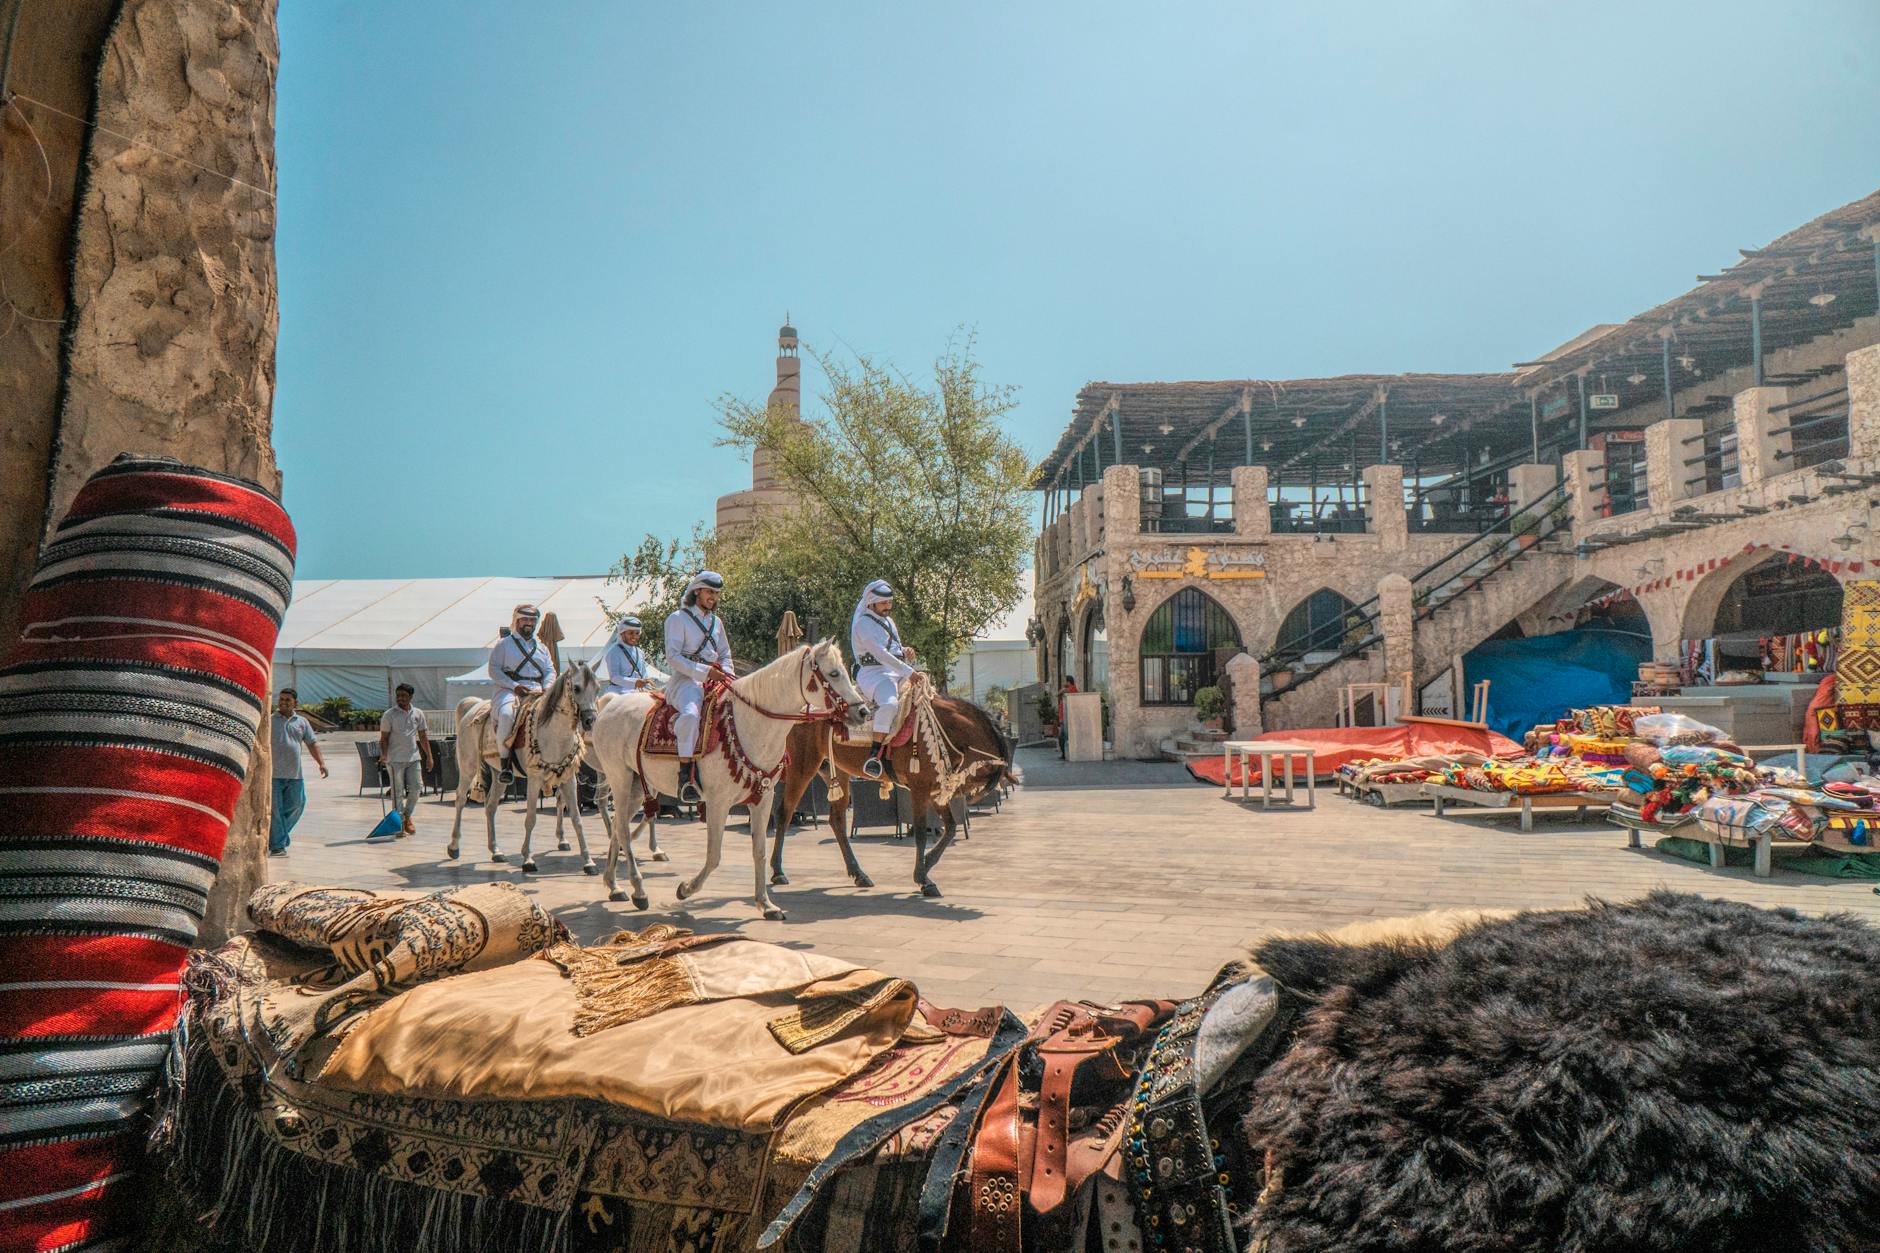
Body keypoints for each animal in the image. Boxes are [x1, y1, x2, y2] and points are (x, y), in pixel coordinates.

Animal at [445, 662, 597, 869]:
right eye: (577, 688)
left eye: (597, 688)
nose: (590, 721)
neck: (554, 733)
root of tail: (473, 705)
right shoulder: (534, 779)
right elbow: (531, 818)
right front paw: (528, 859)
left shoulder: (568, 778)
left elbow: (576, 818)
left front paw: (588, 861)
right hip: (468, 767)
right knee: (460, 799)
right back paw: (454, 846)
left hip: (498, 774)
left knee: (490, 806)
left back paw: (496, 851)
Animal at [590, 643, 868, 918]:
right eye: (833, 673)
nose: (863, 711)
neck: (750, 724)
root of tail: (611, 703)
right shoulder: (718, 803)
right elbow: (714, 856)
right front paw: (685, 889)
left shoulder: (763, 799)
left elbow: (759, 851)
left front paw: (766, 904)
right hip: (620, 780)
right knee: (622, 830)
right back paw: (638, 890)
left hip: (637, 786)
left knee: (618, 828)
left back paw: (614, 886)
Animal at [770, 692, 1022, 888]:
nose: (956, 791)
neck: (939, 728)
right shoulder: (920, 789)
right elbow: (921, 832)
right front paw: (923, 878)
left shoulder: (934, 789)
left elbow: (949, 828)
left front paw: (926, 866)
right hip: (802, 766)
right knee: (785, 812)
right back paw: (777, 871)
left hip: (835, 770)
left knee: (837, 820)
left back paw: (858, 874)